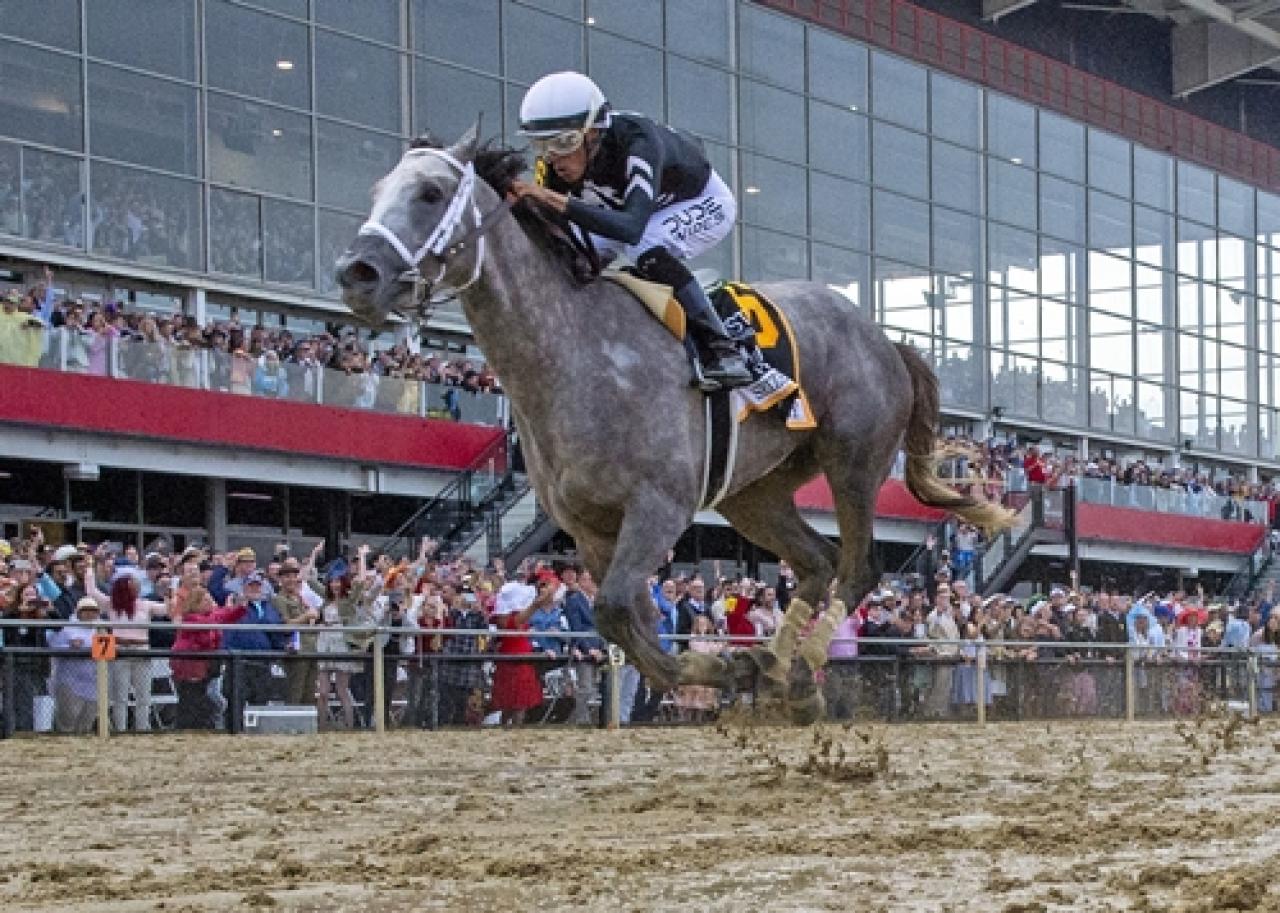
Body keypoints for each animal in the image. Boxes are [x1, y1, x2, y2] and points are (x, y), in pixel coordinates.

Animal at [337, 128, 1008, 722]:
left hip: (854, 461)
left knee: (857, 565)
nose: (356, 273)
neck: (573, 353)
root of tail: (886, 340)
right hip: (753, 494)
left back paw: (800, 665)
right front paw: (729, 667)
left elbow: (615, 611)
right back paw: (783, 673)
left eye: (429, 193)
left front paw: (725, 669)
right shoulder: (589, 529)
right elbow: (627, 621)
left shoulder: (658, 505)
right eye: (376, 190)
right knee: (818, 562)